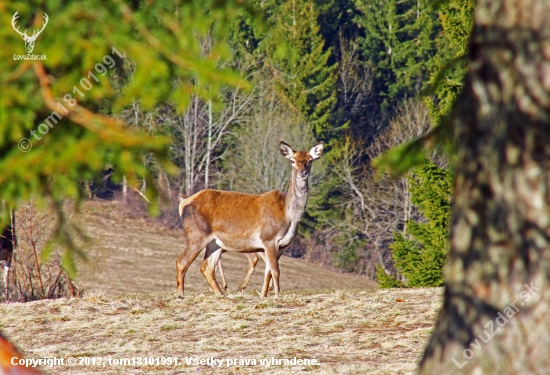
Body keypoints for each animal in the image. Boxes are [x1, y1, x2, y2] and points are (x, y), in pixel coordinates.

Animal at [177, 140, 324, 298]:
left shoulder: (282, 246)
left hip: (215, 243)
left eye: (310, 160)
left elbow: (268, 273)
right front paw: (277, 295)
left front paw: (263, 296)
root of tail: (183, 203)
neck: (289, 215)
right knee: (182, 262)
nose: (303, 173)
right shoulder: (268, 239)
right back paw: (181, 295)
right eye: (292, 160)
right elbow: (276, 271)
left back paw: (221, 294)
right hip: (196, 234)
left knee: (207, 267)